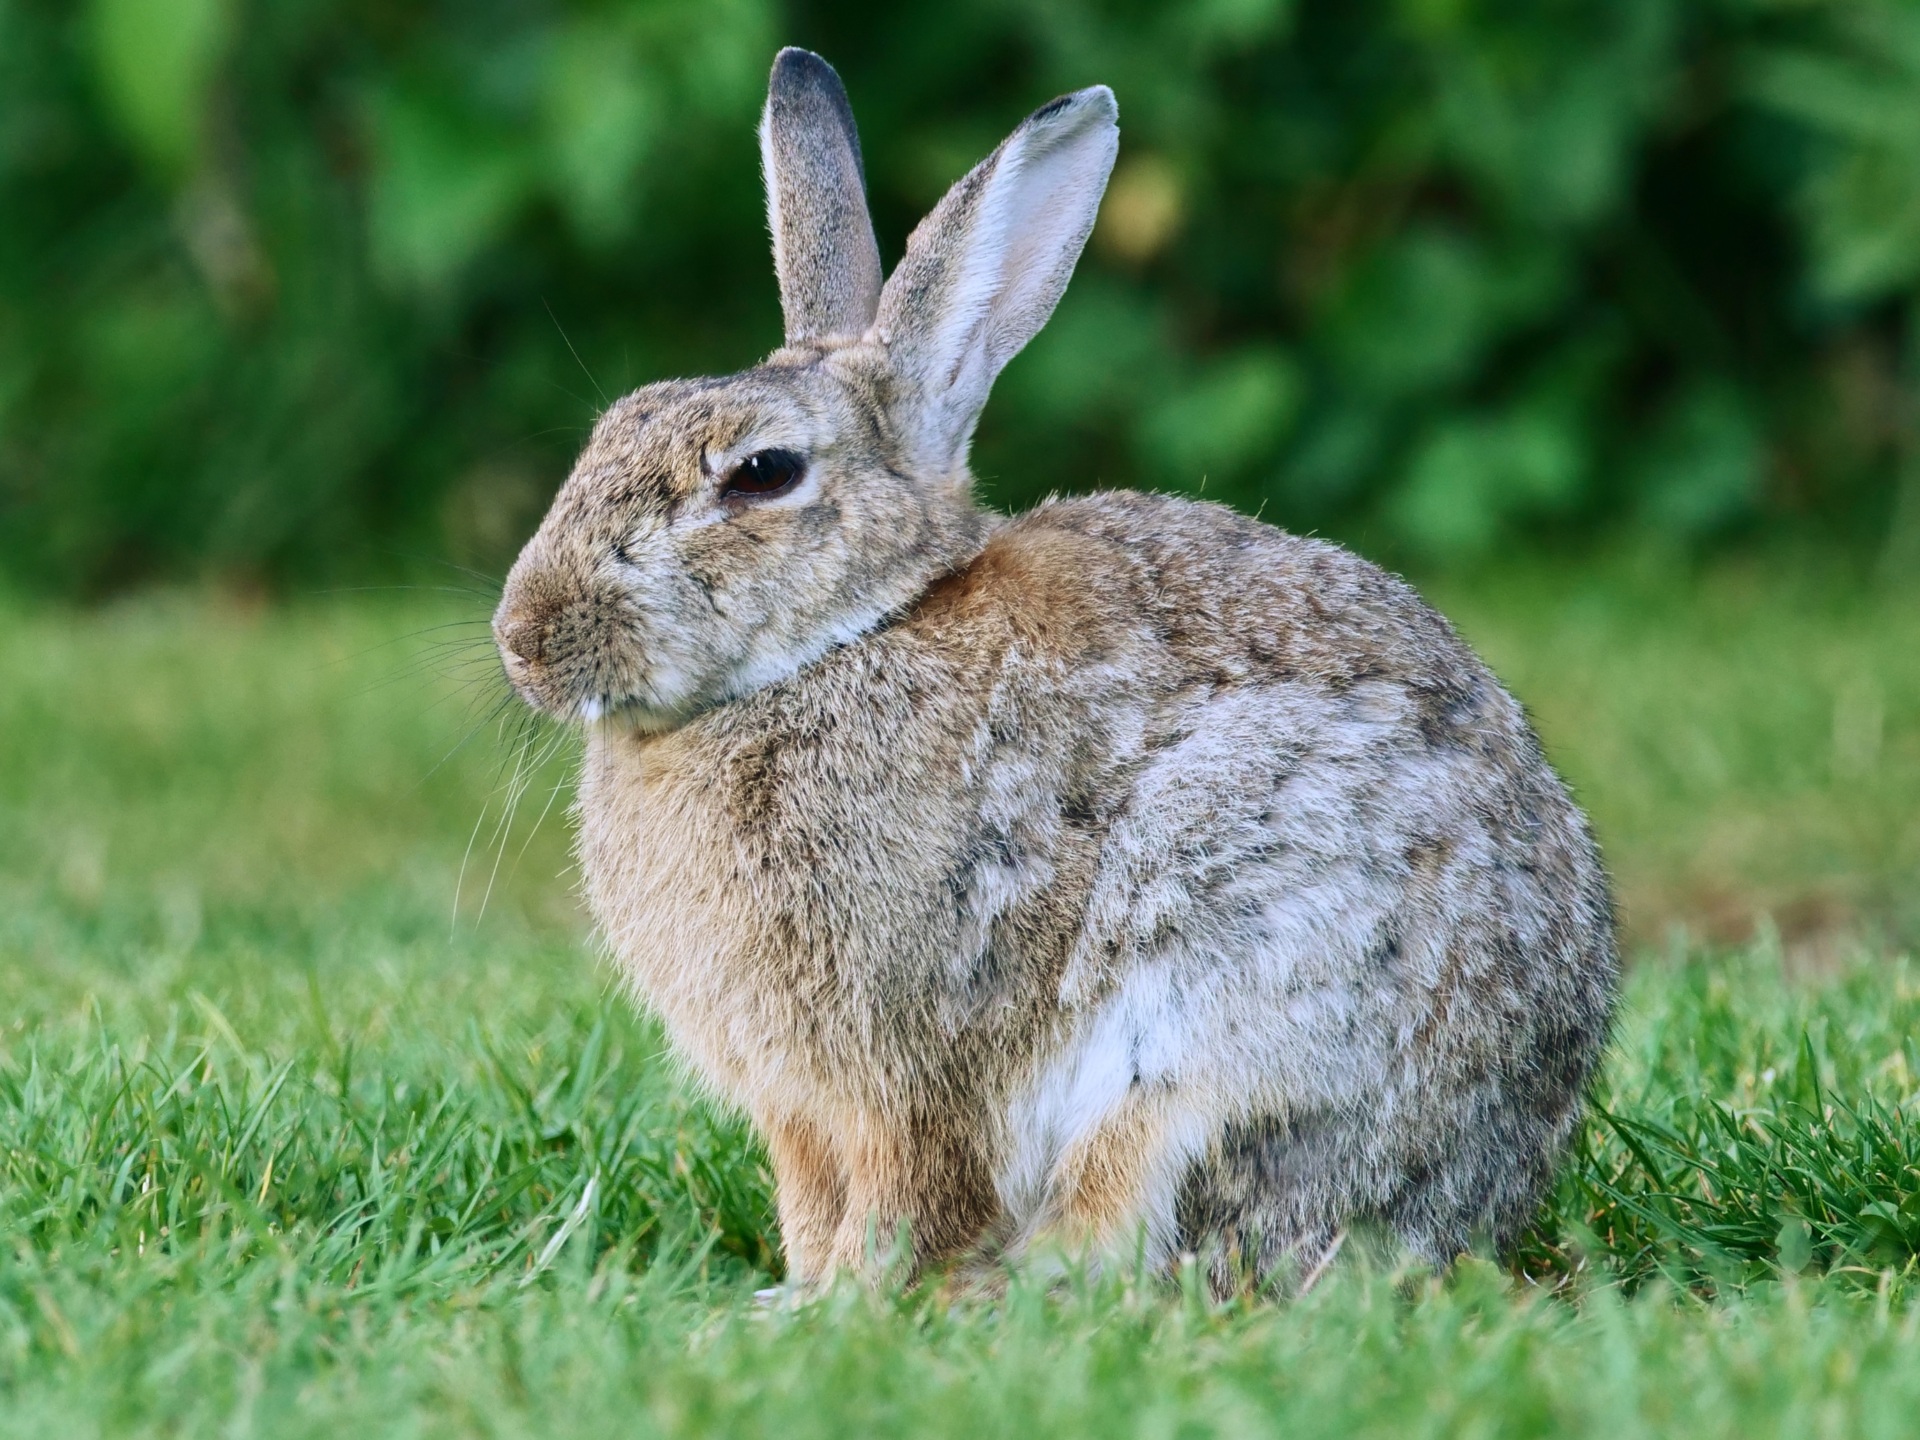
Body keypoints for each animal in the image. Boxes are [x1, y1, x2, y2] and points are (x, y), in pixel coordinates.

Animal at [493, 47, 1617, 1296]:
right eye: (614, 426)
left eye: (764, 473)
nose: (523, 638)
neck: (844, 642)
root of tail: (1478, 1193)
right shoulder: (801, 1111)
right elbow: (812, 1203)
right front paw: (803, 1291)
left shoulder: (911, 1062)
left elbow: (905, 1190)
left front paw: (843, 1304)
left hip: (1226, 1028)